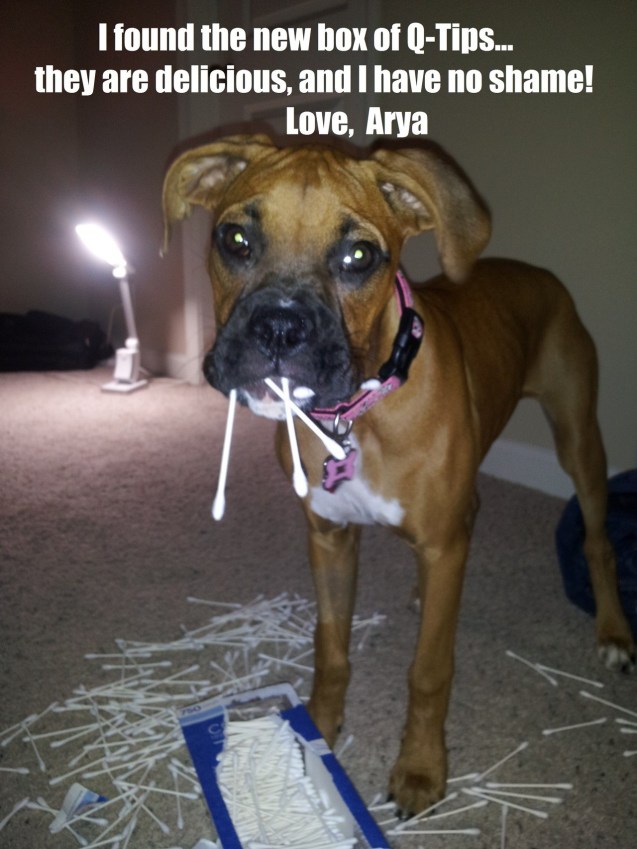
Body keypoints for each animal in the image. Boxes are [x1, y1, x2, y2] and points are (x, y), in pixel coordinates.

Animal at [163, 134, 632, 816]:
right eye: (236, 240)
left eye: (359, 255)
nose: (279, 326)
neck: (357, 415)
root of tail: (540, 273)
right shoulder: (330, 539)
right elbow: (330, 648)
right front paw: (318, 728)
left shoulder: (440, 547)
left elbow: (428, 671)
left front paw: (420, 768)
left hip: (579, 440)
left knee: (597, 539)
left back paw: (614, 631)